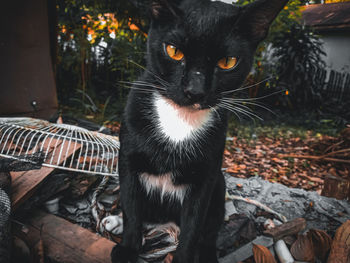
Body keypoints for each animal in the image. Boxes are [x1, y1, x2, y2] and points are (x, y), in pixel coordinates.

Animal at [111, 1, 288, 262]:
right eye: (174, 51)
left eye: (228, 62)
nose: (195, 91)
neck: (180, 121)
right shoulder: (128, 161)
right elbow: (132, 209)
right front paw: (128, 250)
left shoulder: (206, 177)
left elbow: (193, 227)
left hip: (219, 184)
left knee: (209, 231)